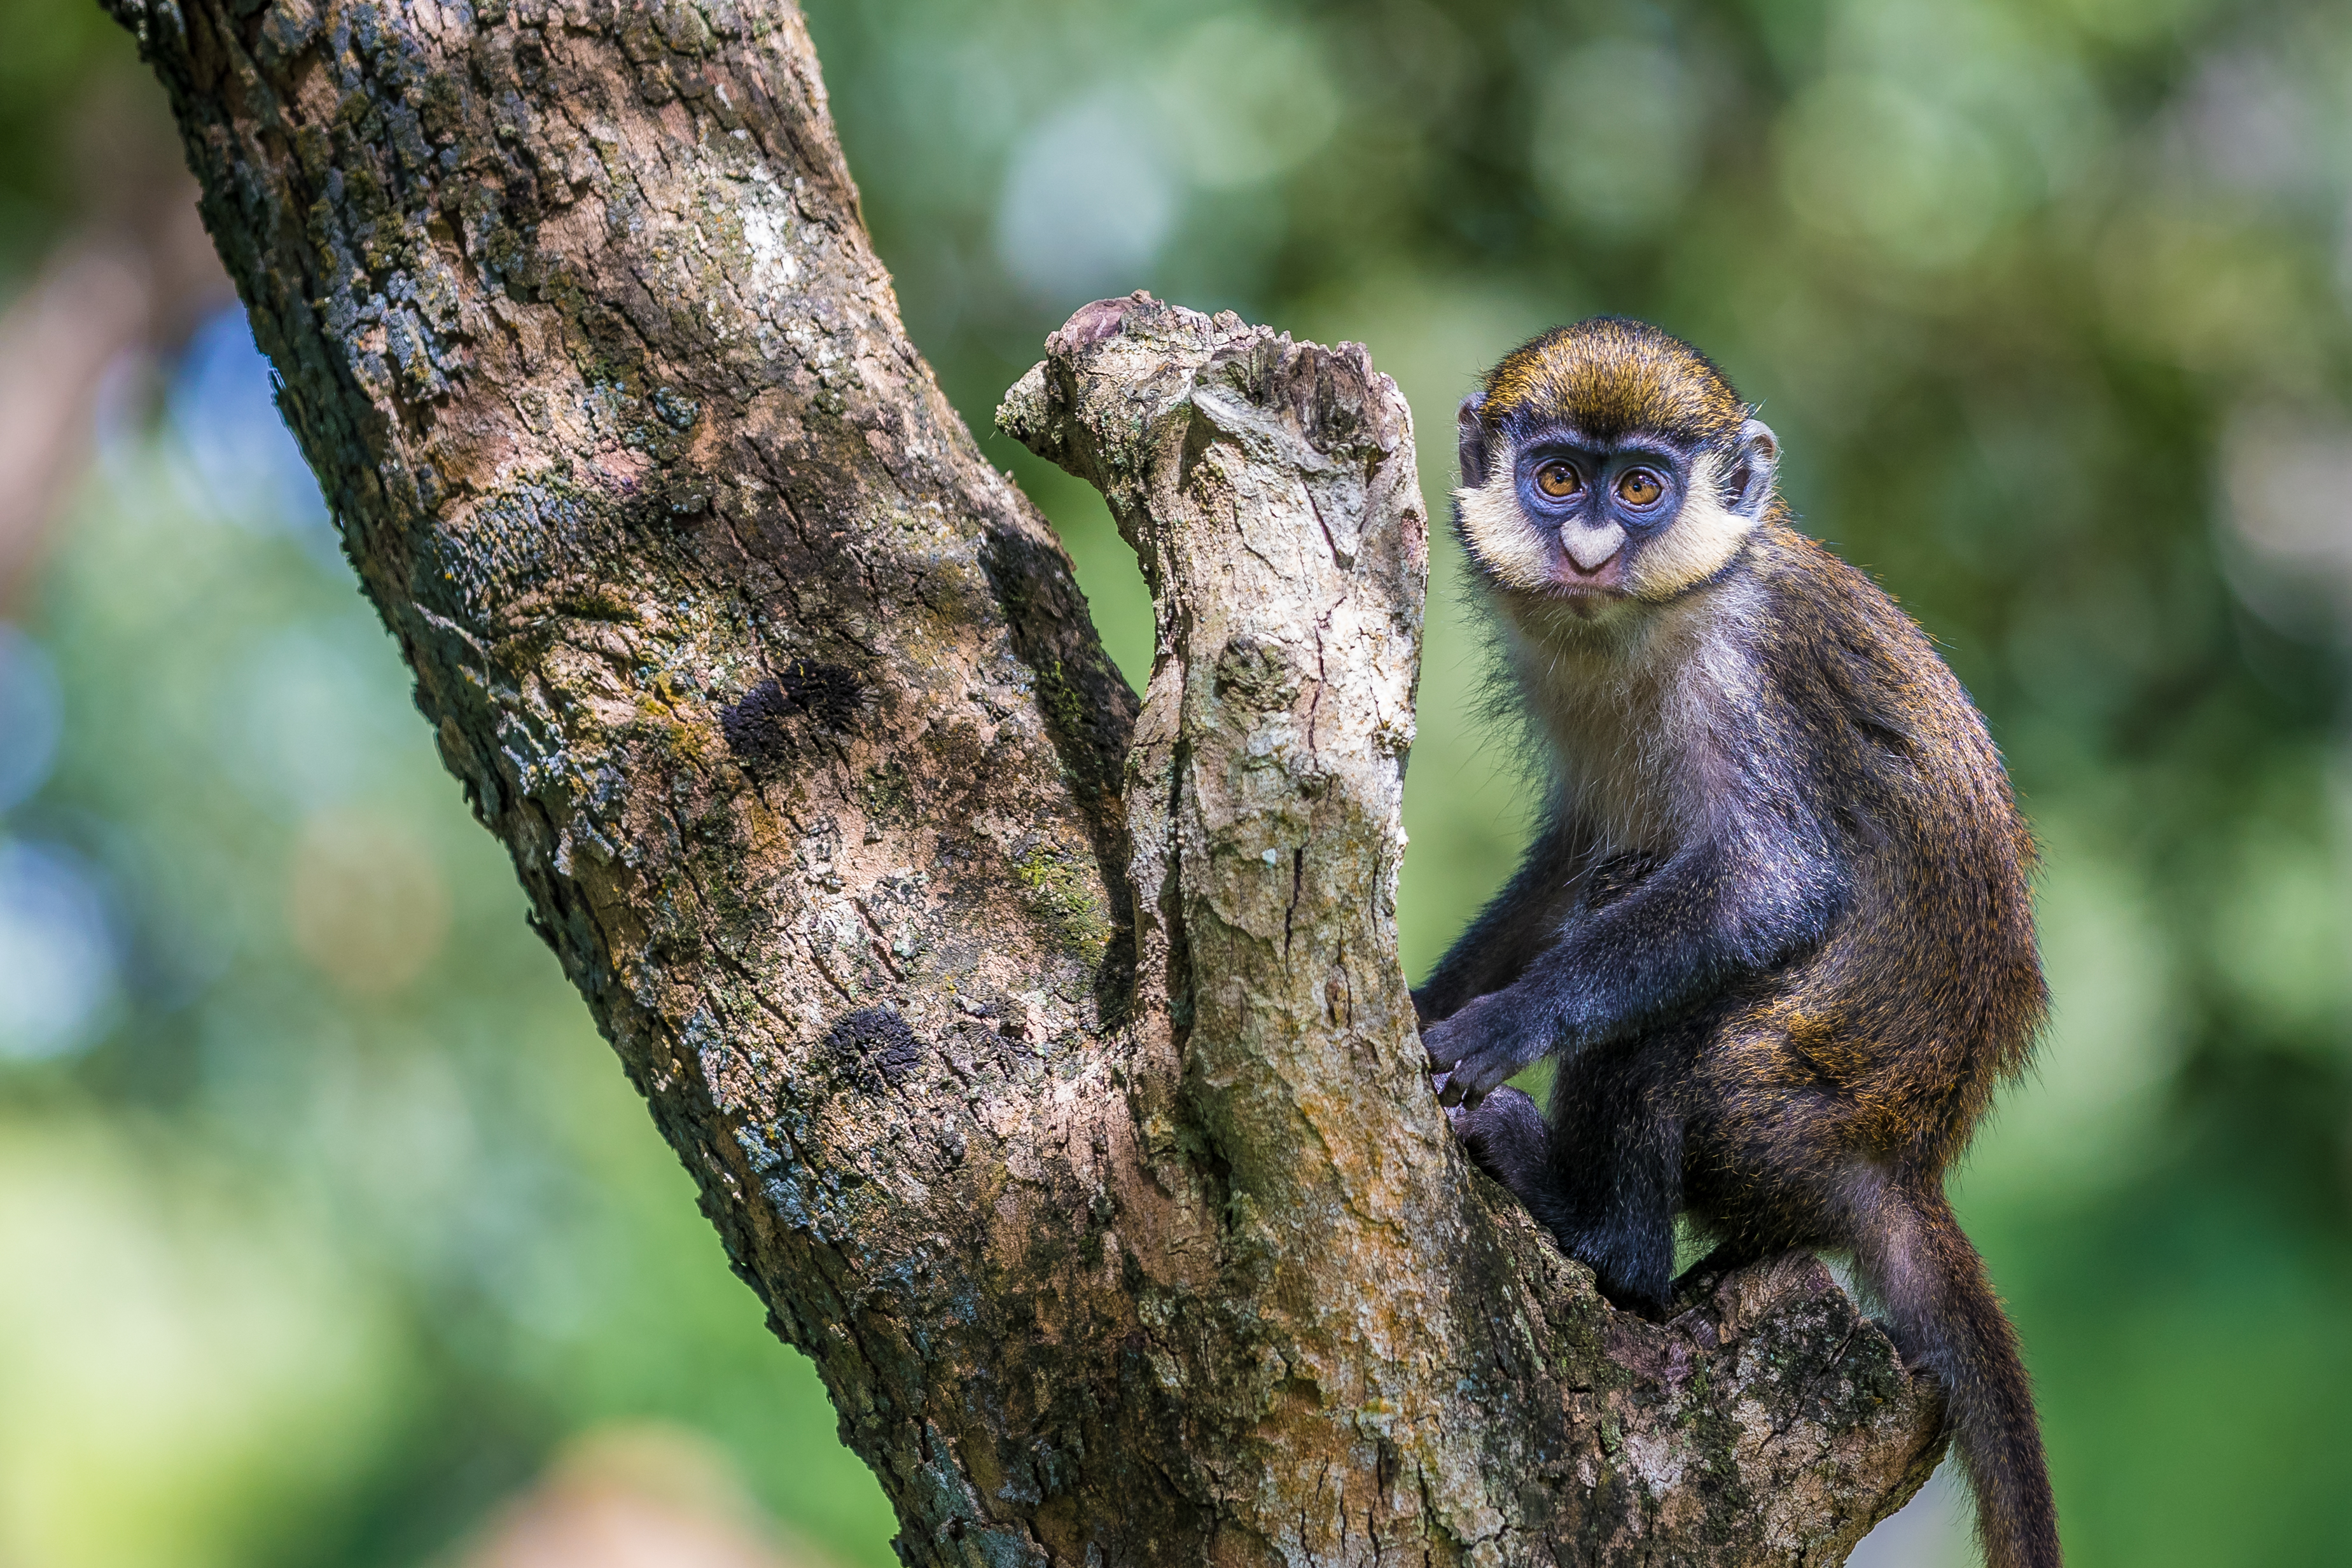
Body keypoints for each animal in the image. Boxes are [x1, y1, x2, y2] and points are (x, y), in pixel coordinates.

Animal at [1411, 315, 2060, 1568]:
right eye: (1556, 479)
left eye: (1641, 488)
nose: (1589, 548)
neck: (1643, 621)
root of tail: (1895, 1161)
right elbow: (1571, 857)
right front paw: (1422, 1009)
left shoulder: (1737, 675)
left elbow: (1772, 883)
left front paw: (1502, 1025)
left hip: (1769, 1098)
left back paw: (1598, 1233)